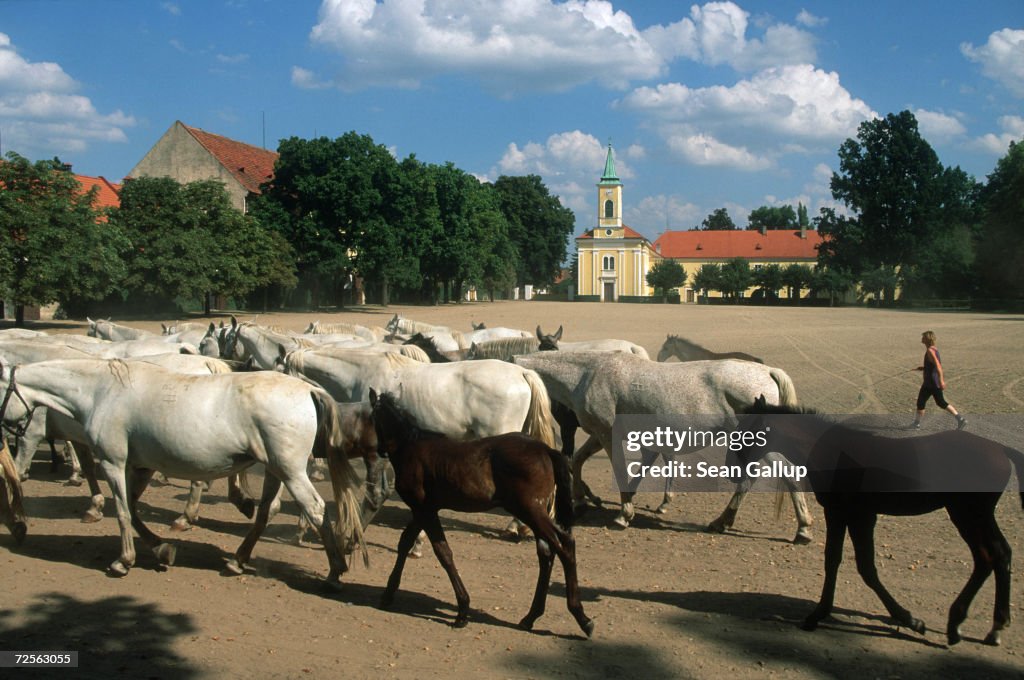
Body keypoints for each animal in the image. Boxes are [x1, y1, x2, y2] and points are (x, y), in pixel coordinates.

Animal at [0, 358, 364, 581]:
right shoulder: (141, 466)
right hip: (276, 470)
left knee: (316, 510)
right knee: (266, 511)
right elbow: (133, 509)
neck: (101, 392)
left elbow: (123, 512)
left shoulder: (113, 462)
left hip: (291, 472)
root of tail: (308, 389)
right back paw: (237, 560)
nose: (6, 431)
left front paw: (123, 561)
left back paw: (335, 570)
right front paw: (163, 549)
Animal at [368, 387, 593, 639]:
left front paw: (463, 611)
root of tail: (546, 450)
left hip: (530, 510)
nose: (379, 450)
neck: (410, 446)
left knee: (564, 544)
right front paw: (388, 593)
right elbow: (406, 541)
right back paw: (530, 617)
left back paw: (582, 618)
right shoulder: (424, 509)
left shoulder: (423, 509)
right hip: (534, 512)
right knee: (547, 554)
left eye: (372, 418)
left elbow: (443, 552)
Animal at [516, 350, 811, 540]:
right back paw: (721, 522)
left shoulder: (607, 433)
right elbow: (578, 460)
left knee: (785, 475)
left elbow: (620, 471)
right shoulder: (598, 434)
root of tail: (768, 371)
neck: (588, 373)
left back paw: (803, 529)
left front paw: (624, 514)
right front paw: (581, 498)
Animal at [733, 399, 1019, 647]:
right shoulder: (848, 515)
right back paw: (980, 627)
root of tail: (1001, 450)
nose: (733, 468)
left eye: (746, 433)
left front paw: (911, 620)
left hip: (969, 514)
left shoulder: (853, 515)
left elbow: (859, 566)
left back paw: (977, 625)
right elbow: (844, 562)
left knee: (992, 555)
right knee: (995, 555)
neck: (832, 452)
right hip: (972, 515)